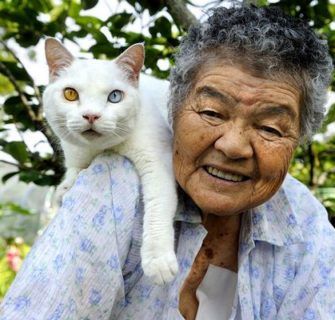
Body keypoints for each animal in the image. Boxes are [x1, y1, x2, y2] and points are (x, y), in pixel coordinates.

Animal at [43, 38, 180, 284]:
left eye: (115, 96)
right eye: (70, 94)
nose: (91, 115)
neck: (99, 149)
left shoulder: (157, 161)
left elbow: (158, 205)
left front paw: (158, 261)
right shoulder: (75, 154)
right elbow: (74, 170)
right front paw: (65, 188)